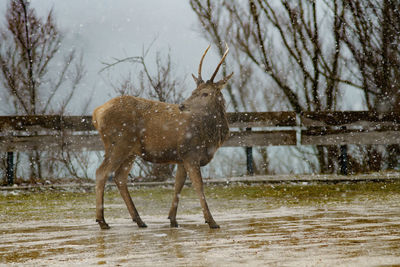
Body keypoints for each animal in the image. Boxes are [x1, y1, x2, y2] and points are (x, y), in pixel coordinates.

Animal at [92, 44, 233, 230]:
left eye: (205, 93)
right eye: (194, 90)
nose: (182, 105)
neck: (209, 138)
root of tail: (96, 114)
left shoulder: (181, 158)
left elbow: (178, 185)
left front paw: (172, 219)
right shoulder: (190, 154)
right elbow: (198, 186)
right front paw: (212, 221)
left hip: (130, 151)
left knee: (119, 176)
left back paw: (139, 220)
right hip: (118, 144)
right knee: (101, 172)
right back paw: (102, 221)